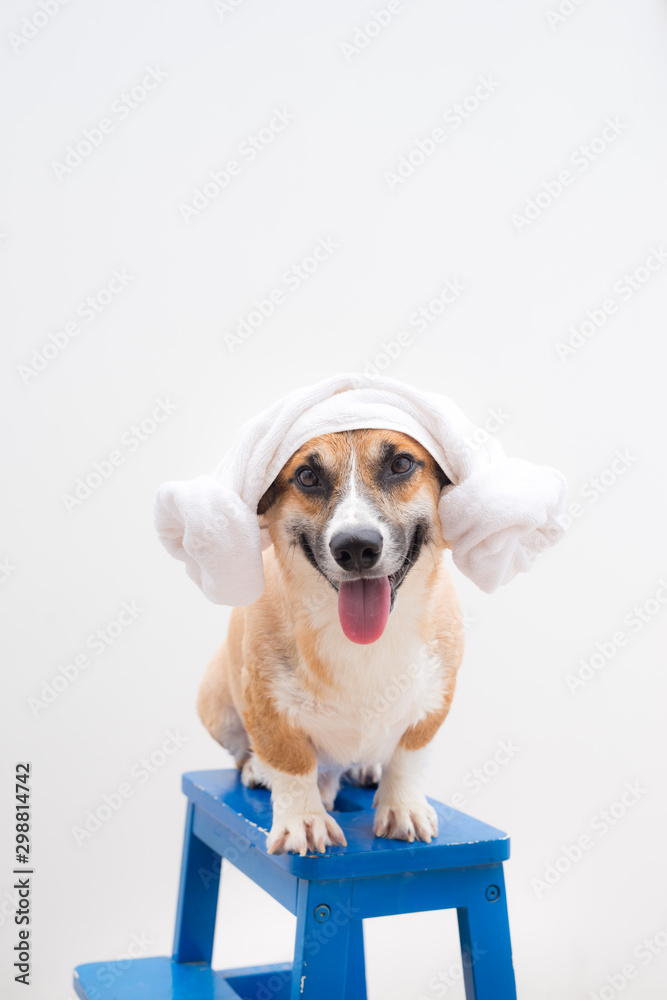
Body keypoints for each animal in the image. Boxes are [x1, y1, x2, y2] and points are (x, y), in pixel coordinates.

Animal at [198, 426, 464, 856]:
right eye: (307, 476)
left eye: (401, 463)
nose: (355, 547)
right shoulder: (265, 704)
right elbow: (291, 761)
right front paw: (304, 820)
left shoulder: (433, 701)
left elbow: (407, 756)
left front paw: (403, 808)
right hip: (216, 705)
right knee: (244, 751)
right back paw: (259, 769)